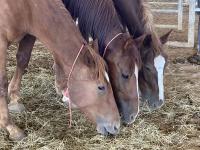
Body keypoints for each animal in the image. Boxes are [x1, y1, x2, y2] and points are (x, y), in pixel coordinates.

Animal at [0, 0, 120, 140]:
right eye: (101, 87)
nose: (116, 126)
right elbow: (2, 83)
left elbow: (23, 59)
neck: (26, 6)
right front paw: (10, 127)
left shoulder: (29, 34)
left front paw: (15, 99)